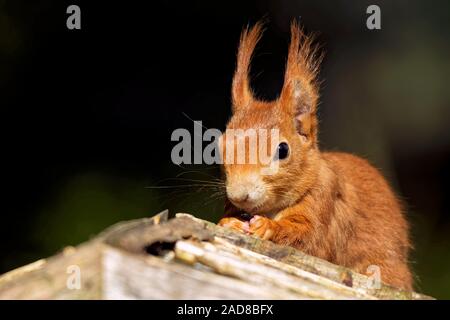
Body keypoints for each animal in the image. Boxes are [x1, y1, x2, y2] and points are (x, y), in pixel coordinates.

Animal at [216, 20, 414, 290]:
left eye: (283, 150)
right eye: (220, 146)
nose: (239, 195)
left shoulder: (324, 200)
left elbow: (311, 240)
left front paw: (268, 227)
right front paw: (228, 223)